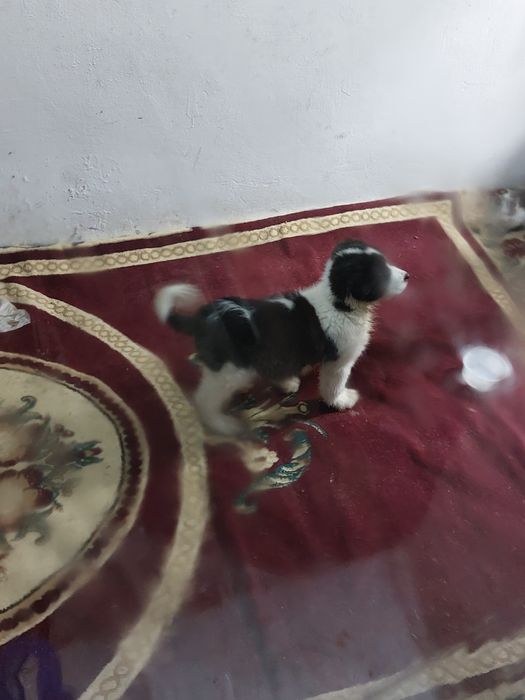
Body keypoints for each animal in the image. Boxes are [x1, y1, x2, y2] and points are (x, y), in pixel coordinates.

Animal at [155, 239, 409, 436]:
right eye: (382, 274)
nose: (407, 275)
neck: (340, 304)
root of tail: (203, 318)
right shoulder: (339, 362)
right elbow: (333, 386)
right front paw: (341, 401)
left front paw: (291, 378)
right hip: (228, 371)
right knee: (204, 400)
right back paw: (221, 424)